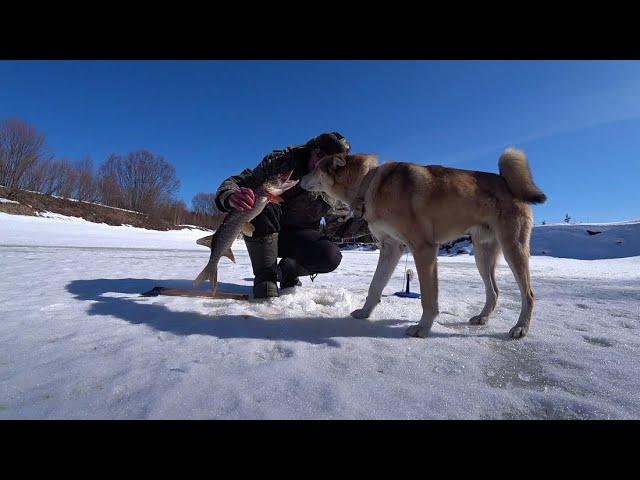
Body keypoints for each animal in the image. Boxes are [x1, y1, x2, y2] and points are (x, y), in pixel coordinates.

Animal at [298, 148, 544, 340]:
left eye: (316, 167)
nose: (299, 180)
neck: (368, 184)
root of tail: (506, 180)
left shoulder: (423, 248)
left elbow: (428, 297)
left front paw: (422, 328)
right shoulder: (391, 248)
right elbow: (375, 285)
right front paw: (364, 313)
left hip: (513, 248)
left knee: (528, 294)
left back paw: (520, 328)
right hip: (482, 255)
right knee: (494, 290)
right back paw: (482, 317)